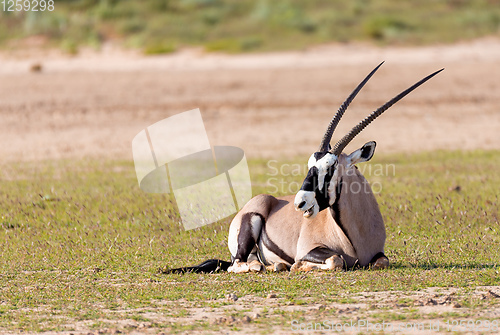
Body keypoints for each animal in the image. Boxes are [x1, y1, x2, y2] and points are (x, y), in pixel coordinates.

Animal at [166, 63, 444, 276]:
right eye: (311, 164)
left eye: (330, 167)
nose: (300, 203)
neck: (356, 233)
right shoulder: (311, 250)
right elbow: (336, 260)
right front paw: (299, 266)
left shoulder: (379, 255)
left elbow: (382, 261)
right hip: (247, 233)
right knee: (240, 265)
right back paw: (273, 266)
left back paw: (277, 265)